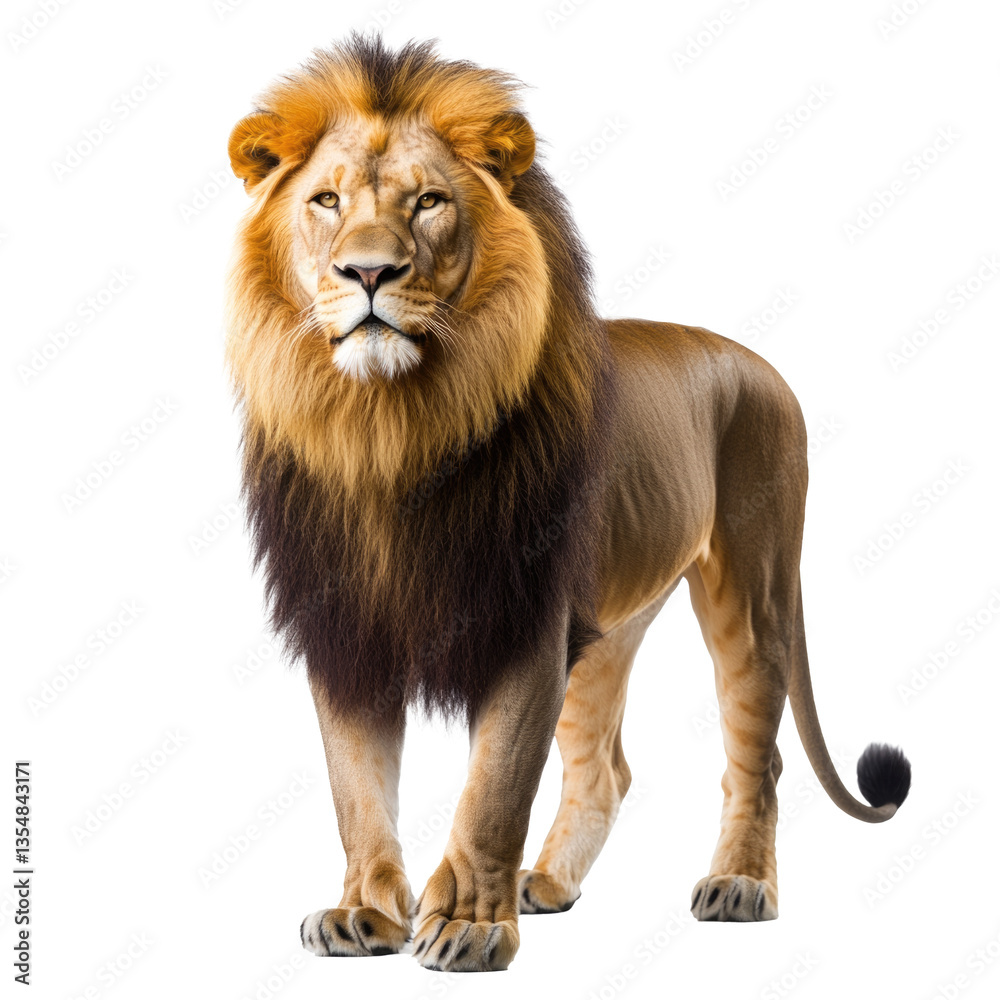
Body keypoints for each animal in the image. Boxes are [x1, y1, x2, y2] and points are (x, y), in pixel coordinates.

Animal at [225, 35, 912, 972]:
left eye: (429, 202)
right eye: (326, 201)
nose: (367, 271)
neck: (389, 432)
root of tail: (761, 364)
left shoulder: (525, 622)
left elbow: (492, 789)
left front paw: (469, 924)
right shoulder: (349, 627)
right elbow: (356, 788)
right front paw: (365, 912)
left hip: (753, 589)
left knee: (756, 758)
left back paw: (738, 885)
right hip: (611, 625)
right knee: (604, 767)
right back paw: (544, 883)